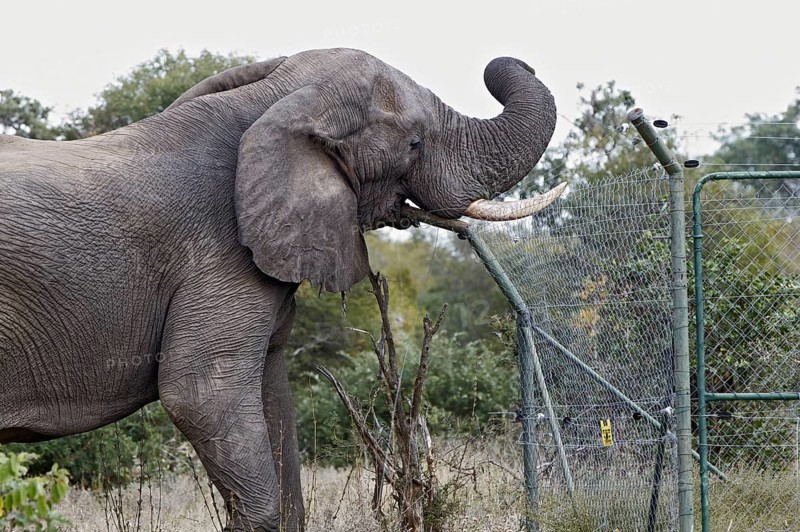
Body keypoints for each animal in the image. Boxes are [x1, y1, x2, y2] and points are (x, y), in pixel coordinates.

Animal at [0, 48, 561, 531]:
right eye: (415, 142)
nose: (520, 62)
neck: (274, 102)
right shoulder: (218, 250)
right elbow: (201, 392)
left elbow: (272, 398)